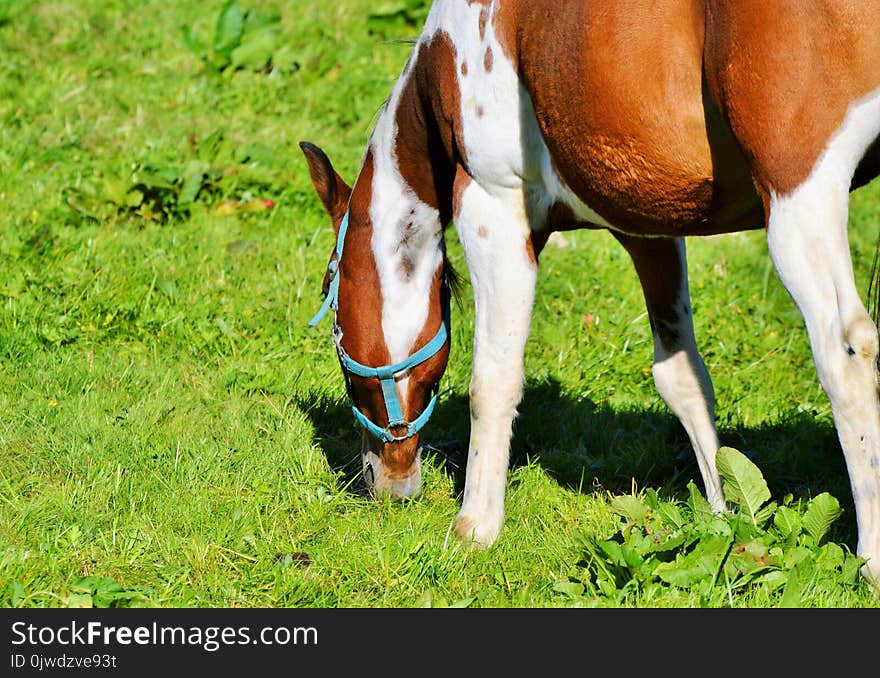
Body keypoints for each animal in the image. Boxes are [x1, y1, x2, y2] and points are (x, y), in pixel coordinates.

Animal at [300, 0, 880, 588]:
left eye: (333, 311)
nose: (382, 482)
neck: (447, 57)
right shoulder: (648, 227)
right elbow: (683, 379)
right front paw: (724, 519)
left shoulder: (491, 209)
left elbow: (493, 381)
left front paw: (474, 527)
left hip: (798, 200)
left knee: (847, 354)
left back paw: (870, 558)